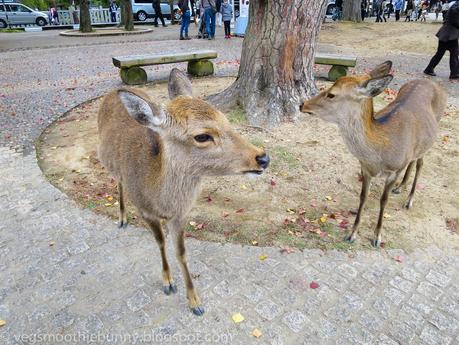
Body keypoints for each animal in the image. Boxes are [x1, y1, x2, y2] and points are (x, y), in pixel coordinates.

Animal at [97, 68, 270, 316]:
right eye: (202, 136)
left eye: (225, 119)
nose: (263, 158)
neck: (159, 197)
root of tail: (112, 92)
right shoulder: (144, 209)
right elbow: (160, 241)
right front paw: (168, 283)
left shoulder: (180, 215)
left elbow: (182, 252)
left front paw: (195, 301)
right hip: (106, 161)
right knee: (118, 181)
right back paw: (122, 218)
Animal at [300, 60, 448, 246]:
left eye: (332, 94)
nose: (302, 104)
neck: (379, 154)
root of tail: (433, 83)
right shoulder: (364, 168)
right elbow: (363, 196)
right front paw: (352, 233)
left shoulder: (393, 171)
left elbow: (383, 200)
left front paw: (377, 237)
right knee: (412, 161)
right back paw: (400, 187)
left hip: (433, 132)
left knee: (420, 163)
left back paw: (409, 200)